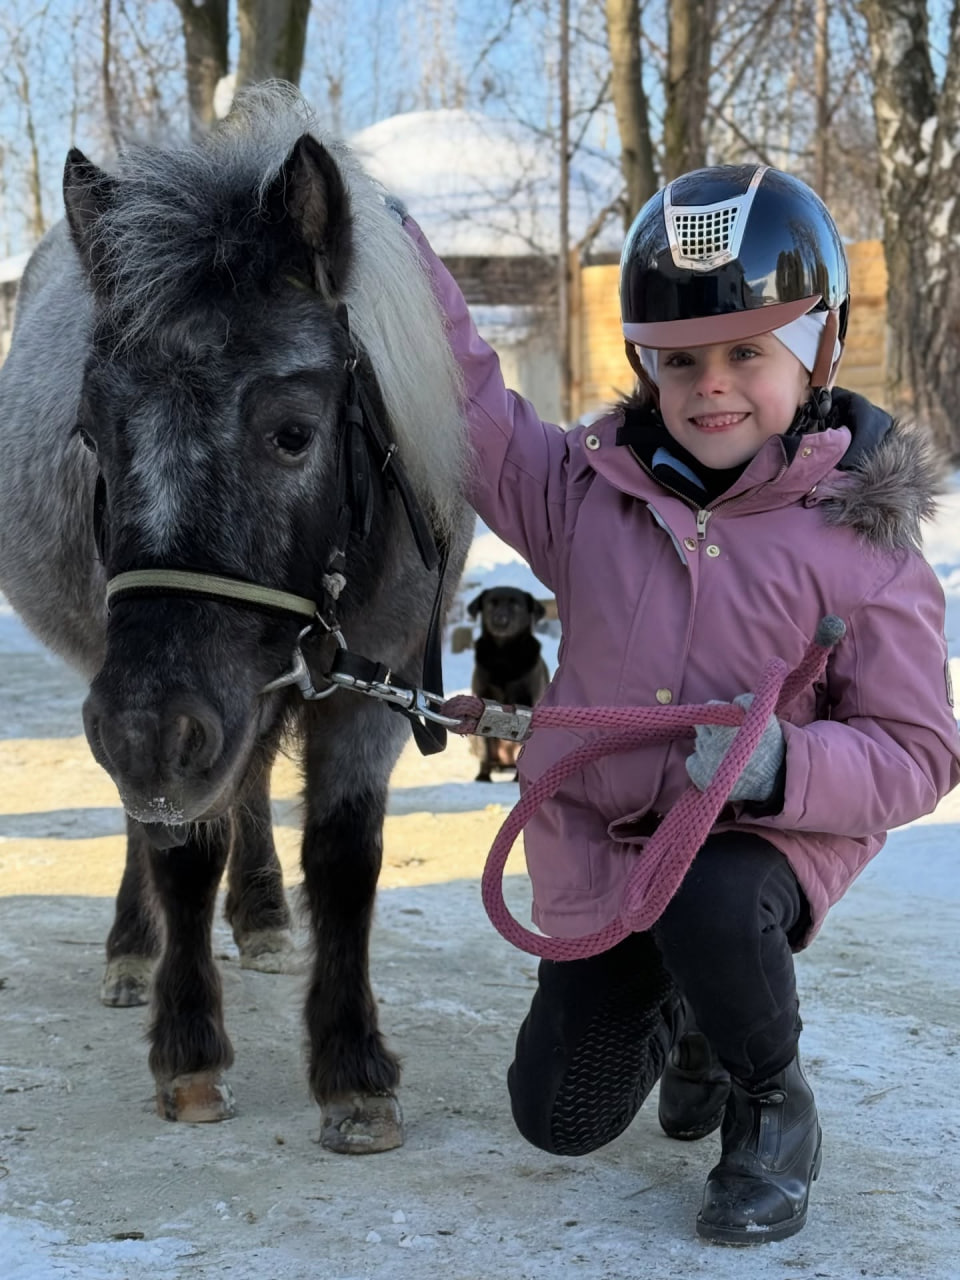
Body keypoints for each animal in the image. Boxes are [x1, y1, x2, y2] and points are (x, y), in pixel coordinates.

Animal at [0, 84, 472, 1153]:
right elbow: (178, 848)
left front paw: (351, 1067)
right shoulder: (169, 718)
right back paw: (134, 947)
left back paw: (259, 918)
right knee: (158, 818)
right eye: (91, 433)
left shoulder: (373, 691)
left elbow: (343, 862)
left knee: (246, 783)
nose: (146, 729)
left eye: (293, 432)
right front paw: (188, 1050)